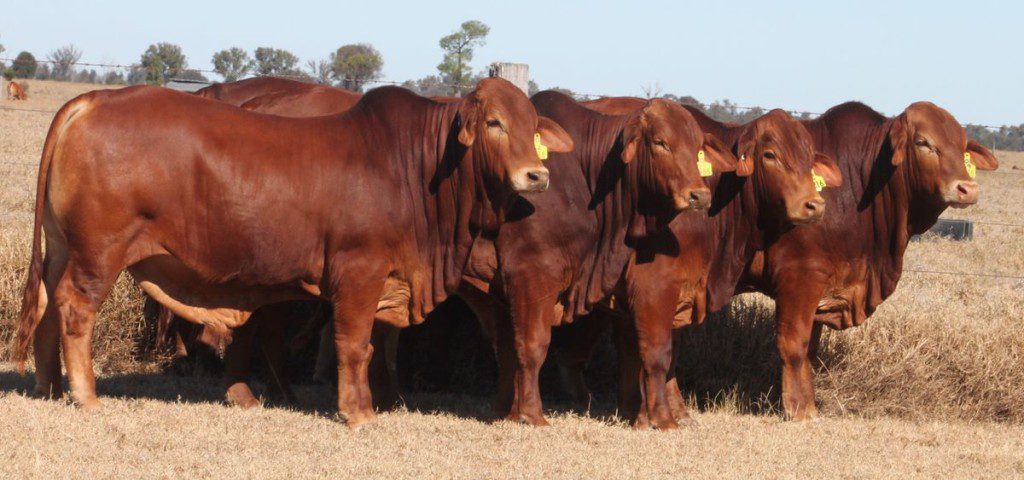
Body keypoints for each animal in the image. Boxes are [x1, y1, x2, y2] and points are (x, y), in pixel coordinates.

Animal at [16, 78, 573, 425]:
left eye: (533, 127)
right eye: (495, 123)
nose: (537, 176)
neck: (412, 167)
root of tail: (92, 101)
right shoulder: (359, 272)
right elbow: (355, 344)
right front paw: (358, 413)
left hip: (62, 249)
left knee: (45, 307)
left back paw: (47, 388)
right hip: (98, 255)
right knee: (74, 310)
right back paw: (86, 396)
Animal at [456, 91, 745, 423]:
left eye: (697, 149)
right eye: (660, 142)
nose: (699, 195)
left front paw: (512, 413)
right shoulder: (530, 274)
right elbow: (531, 346)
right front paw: (530, 414)